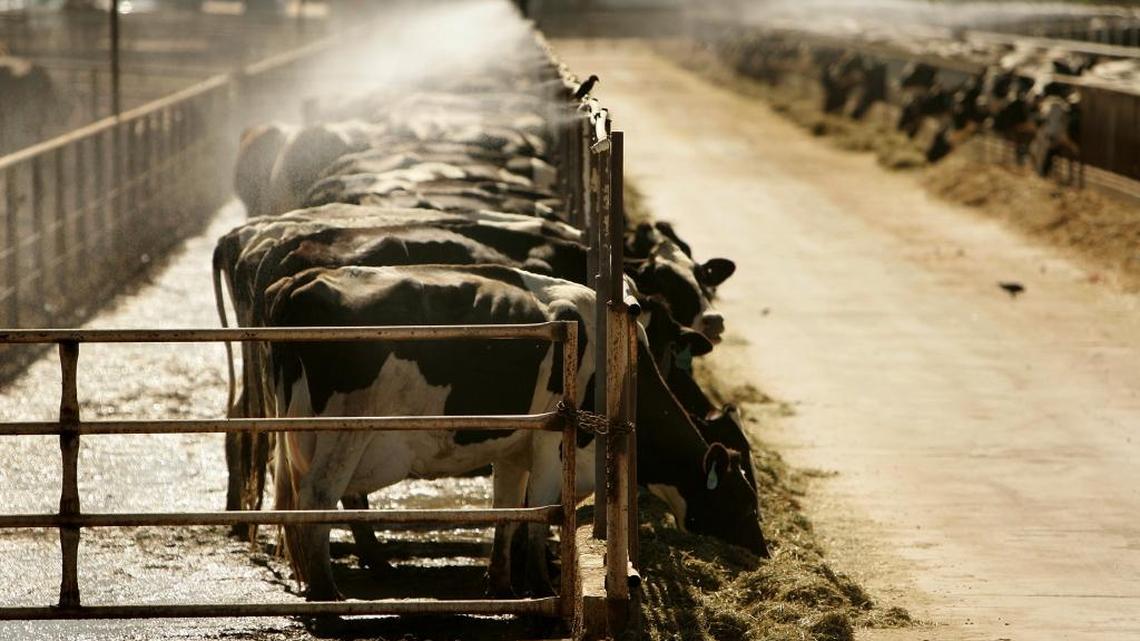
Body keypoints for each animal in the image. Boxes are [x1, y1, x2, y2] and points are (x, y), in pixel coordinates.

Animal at [264, 264, 767, 600]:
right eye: (744, 502)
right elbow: (544, 508)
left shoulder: (513, 446)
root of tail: (301, 281)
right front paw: (542, 585)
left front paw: (503, 583)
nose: (762, 551)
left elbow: (508, 509)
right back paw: (328, 594)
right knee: (317, 498)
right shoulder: (553, 438)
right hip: (346, 428)